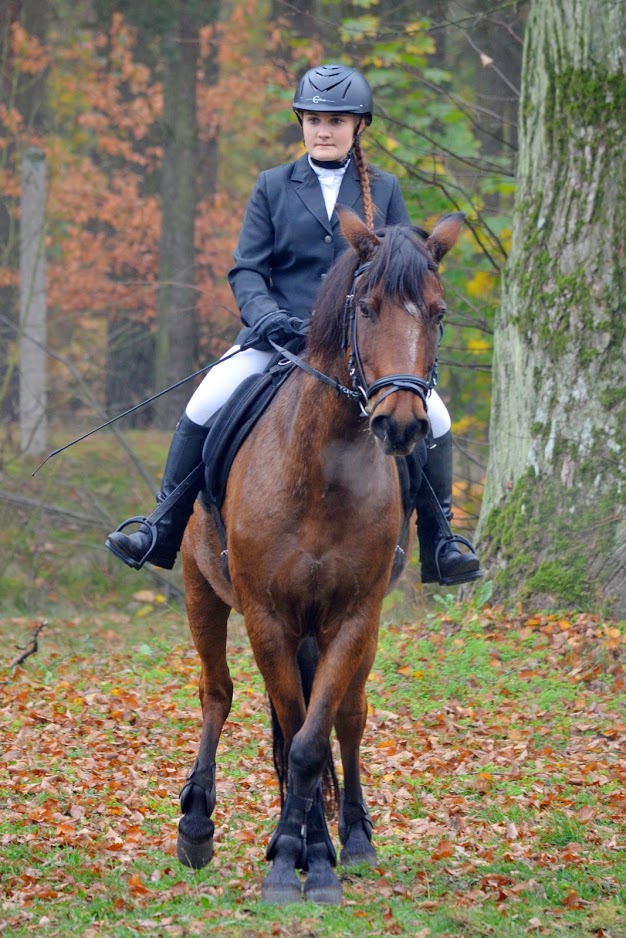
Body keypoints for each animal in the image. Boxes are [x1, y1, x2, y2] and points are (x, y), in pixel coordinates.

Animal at [176, 208, 464, 905]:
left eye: (438, 312)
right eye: (366, 307)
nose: (402, 425)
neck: (325, 470)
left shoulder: (353, 617)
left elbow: (314, 737)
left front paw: (315, 861)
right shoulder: (267, 617)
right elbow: (289, 725)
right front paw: (290, 862)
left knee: (345, 720)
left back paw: (348, 839)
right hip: (201, 589)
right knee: (217, 693)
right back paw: (198, 826)